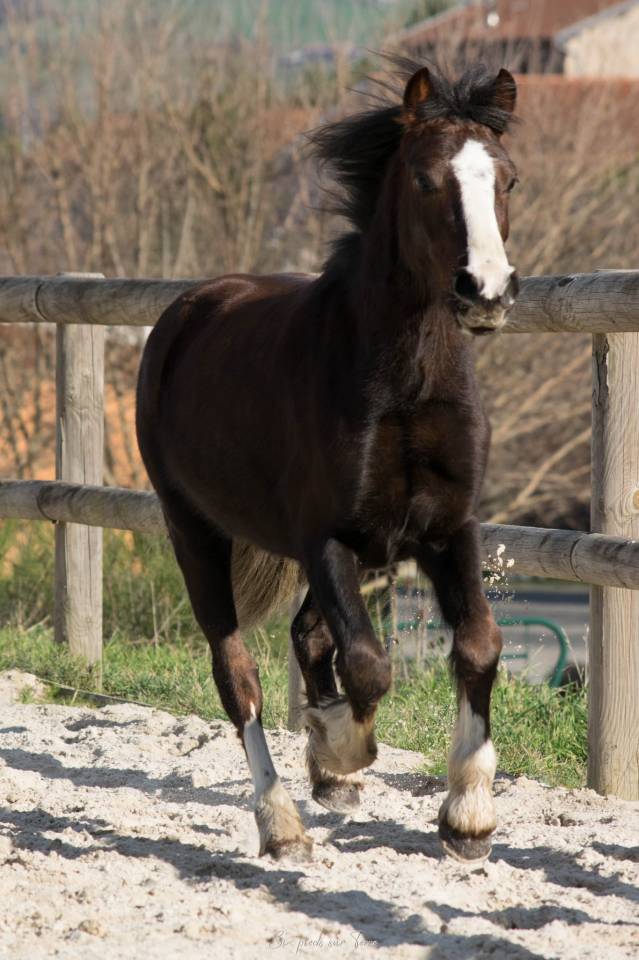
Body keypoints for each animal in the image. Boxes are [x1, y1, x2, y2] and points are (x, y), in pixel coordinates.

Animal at [136, 61, 520, 864]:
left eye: (508, 179)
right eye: (425, 180)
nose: (486, 290)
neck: (404, 383)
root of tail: (186, 310)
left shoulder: (446, 529)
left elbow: (477, 643)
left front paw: (467, 816)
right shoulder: (328, 538)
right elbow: (368, 663)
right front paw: (342, 747)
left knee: (308, 635)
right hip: (194, 532)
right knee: (239, 673)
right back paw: (281, 820)